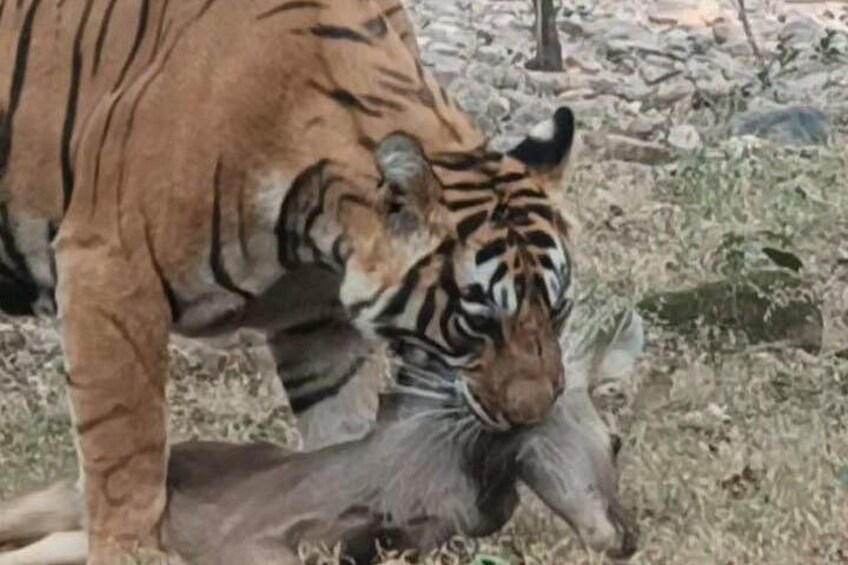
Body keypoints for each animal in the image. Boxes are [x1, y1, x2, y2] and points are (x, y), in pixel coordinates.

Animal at [0, 0, 577, 563]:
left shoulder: (319, 325)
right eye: (480, 321)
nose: (535, 414)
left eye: (558, 310)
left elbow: (341, 436)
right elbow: (126, 447)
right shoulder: (110, 269)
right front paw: (130, 550)